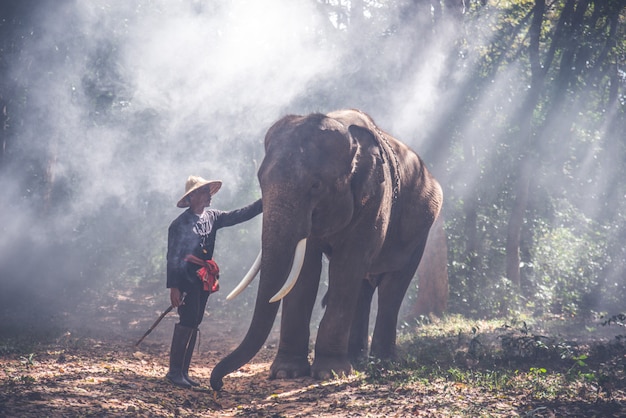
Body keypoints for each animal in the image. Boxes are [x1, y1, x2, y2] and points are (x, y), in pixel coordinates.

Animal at [211, 108, 444, 392]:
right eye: (260, 181)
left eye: (316, 186)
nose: (218, 384)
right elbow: (306, 270)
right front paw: (287, 372)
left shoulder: (376, 198)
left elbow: (346, 266)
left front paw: (329, 373)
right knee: (363, 289)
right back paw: (357, 360)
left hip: (421, 232)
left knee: (392, 287)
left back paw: (382, 363)